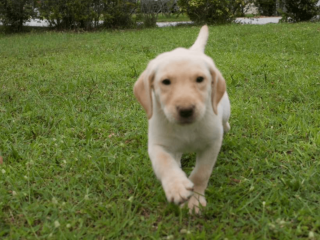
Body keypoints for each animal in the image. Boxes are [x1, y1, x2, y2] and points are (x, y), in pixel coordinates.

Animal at [134, 25, 231, 214]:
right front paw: (176, 186)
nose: (186, 110)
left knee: (224, 120)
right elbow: (164, 162)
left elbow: (201, 173)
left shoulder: (212, 143)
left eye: (200, 79)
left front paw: (195, 200)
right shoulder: (157, 144)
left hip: (225, 109)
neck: (186, 128)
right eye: (166, 82)